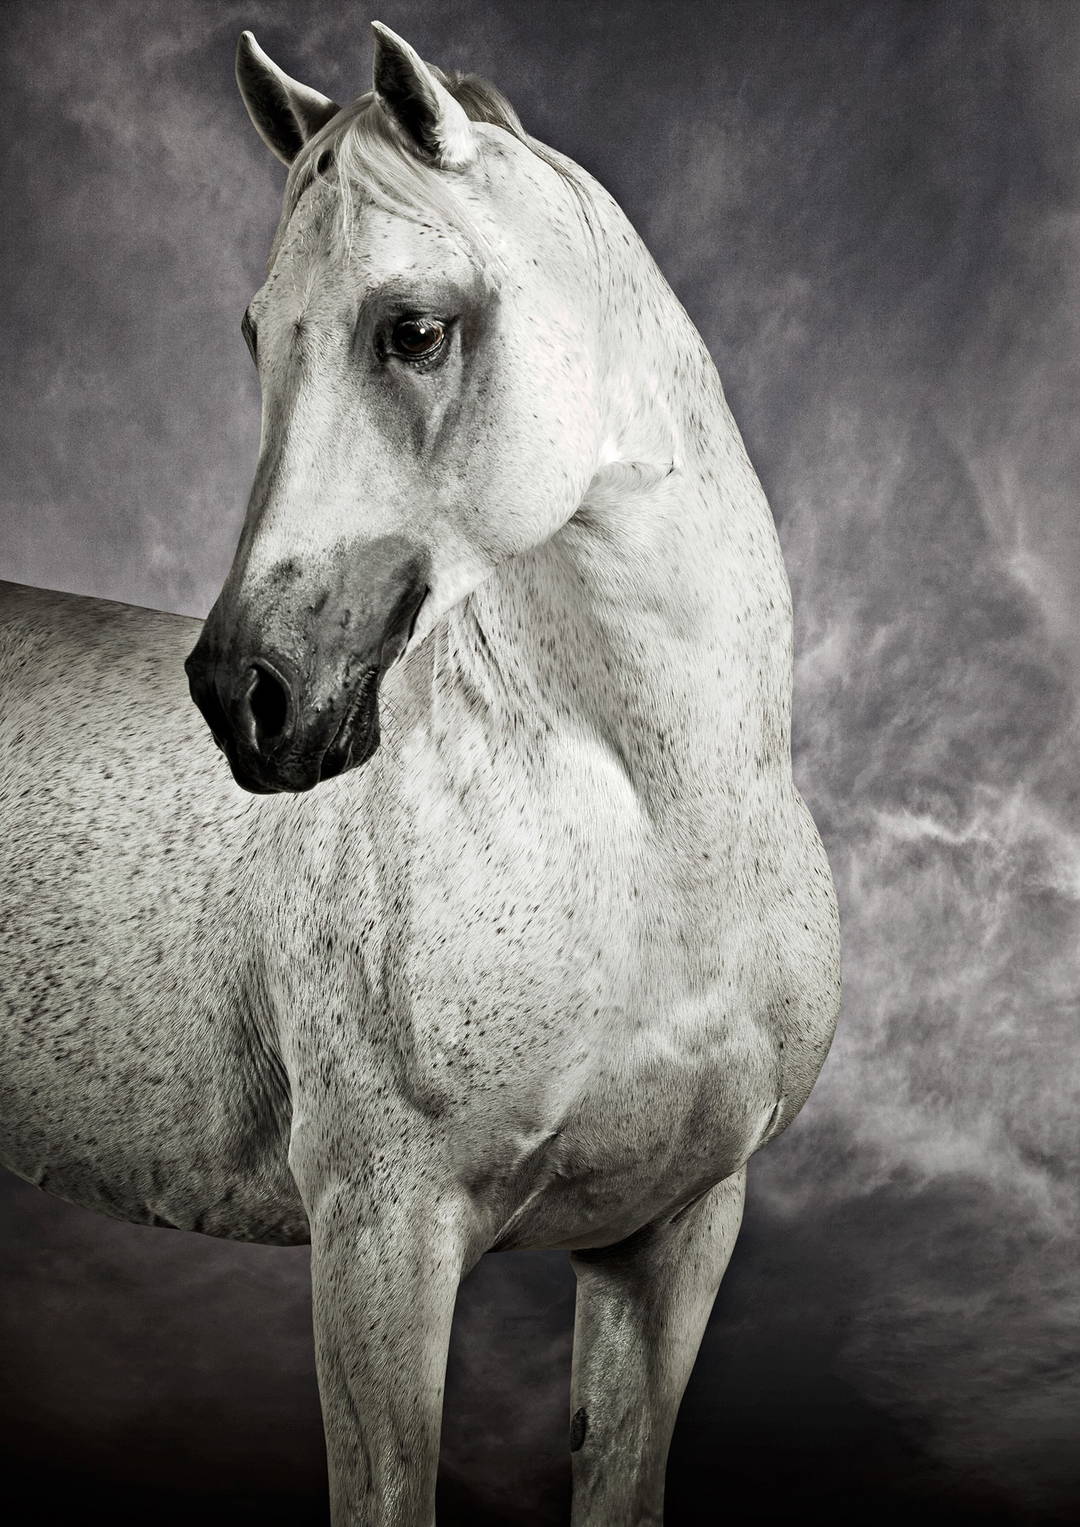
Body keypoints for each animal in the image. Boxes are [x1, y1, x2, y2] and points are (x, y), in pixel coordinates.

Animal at [0, 20, 841, 1525]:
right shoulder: (383, 1237)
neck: (657, 831)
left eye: (415, 329)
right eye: (255, 334)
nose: (249, 698)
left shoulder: (673, 1234)